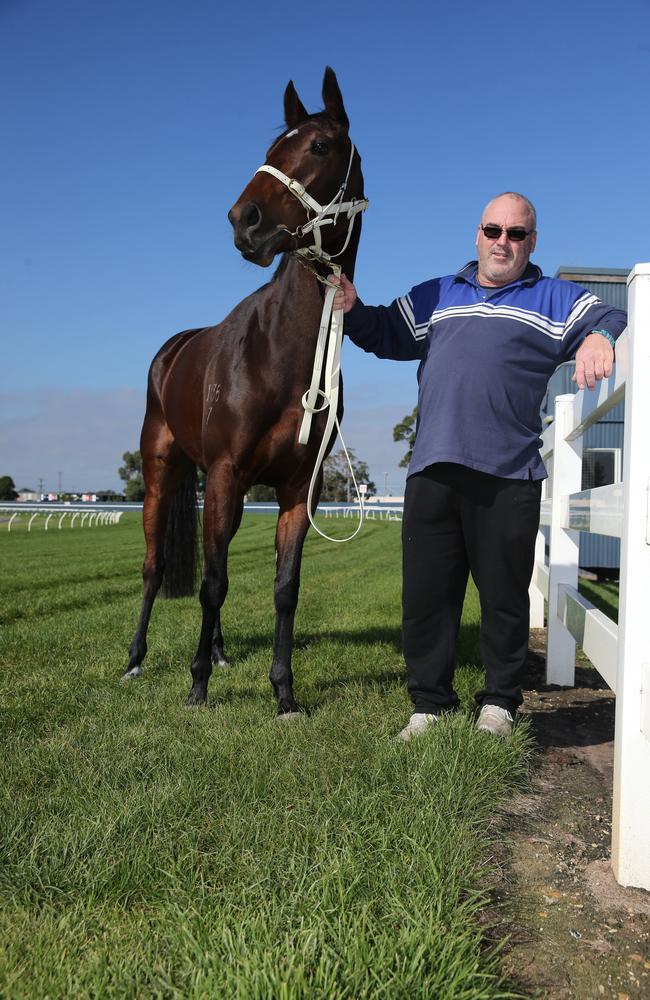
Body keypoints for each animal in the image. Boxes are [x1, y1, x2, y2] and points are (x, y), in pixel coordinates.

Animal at [121, 66, 364, 716]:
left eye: (320, 146)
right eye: (272, 148)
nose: (243, 220)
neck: (278, 352)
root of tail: (173, 350)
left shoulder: (296, 489)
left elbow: (284, 587)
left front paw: (283, 692)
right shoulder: (229, 472)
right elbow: (213, 582)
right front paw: (197, 684)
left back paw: (223, 651)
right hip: (162, 472)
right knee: (156, 566)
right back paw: (136, 659)